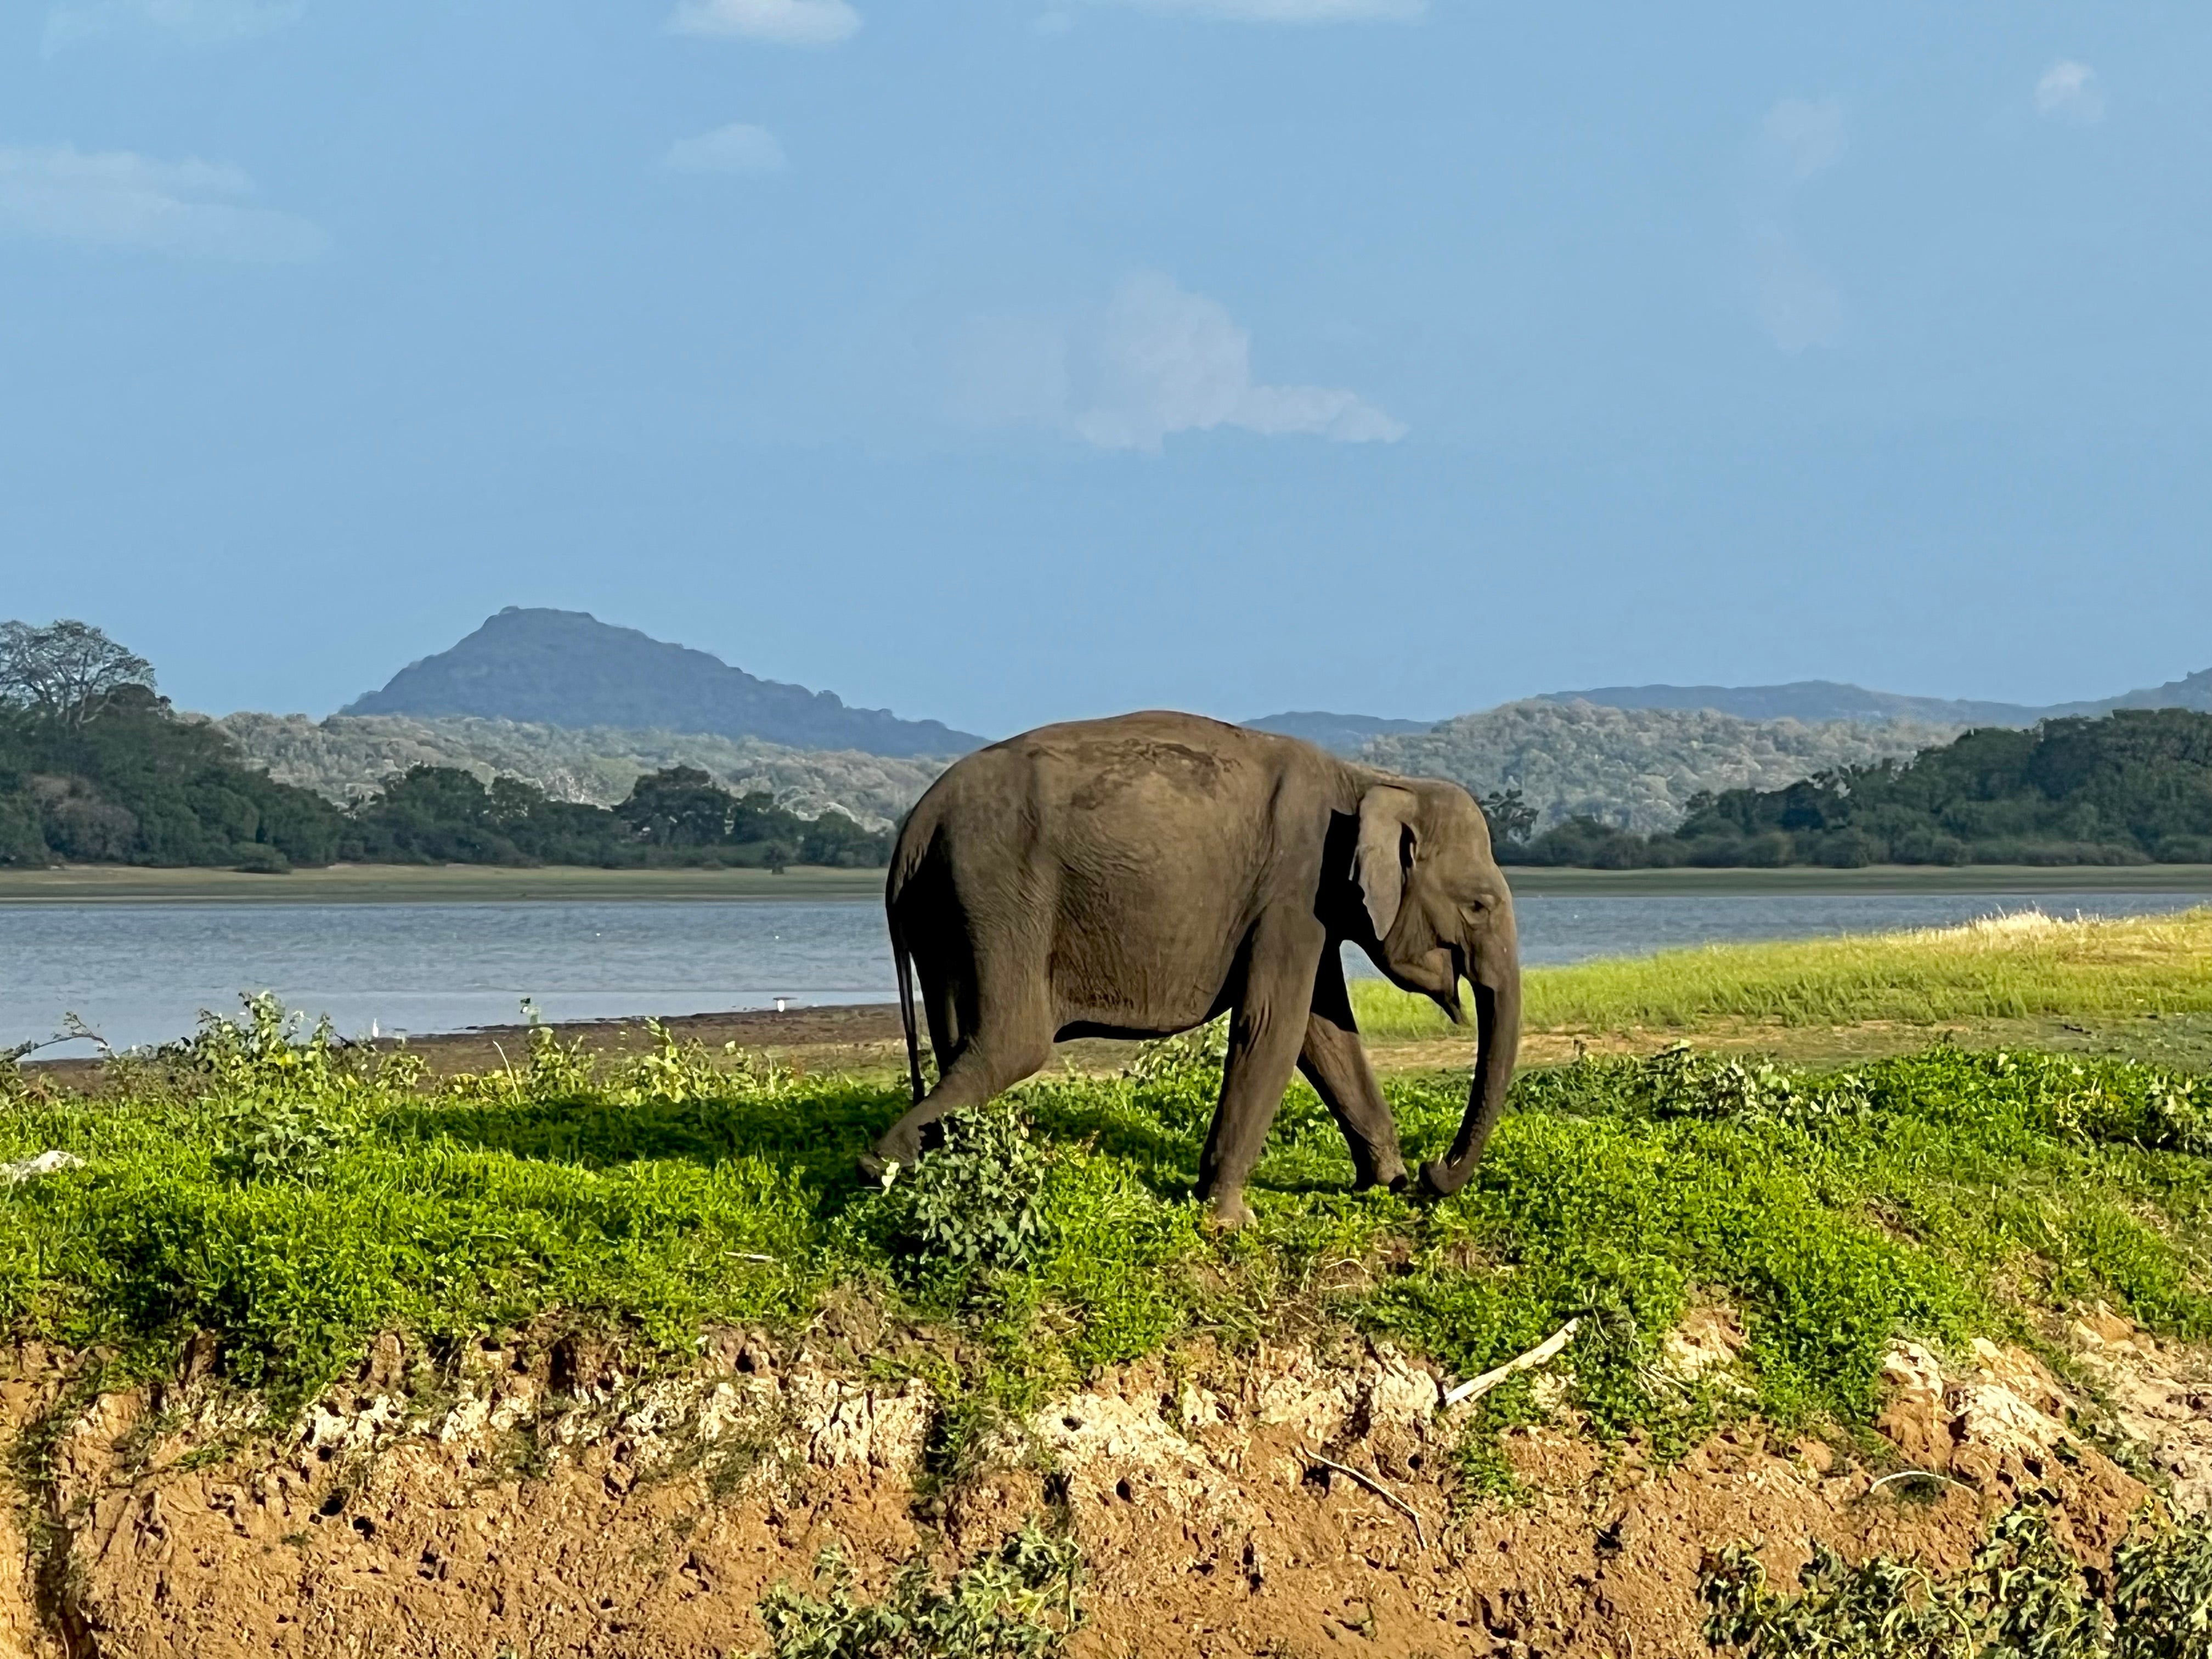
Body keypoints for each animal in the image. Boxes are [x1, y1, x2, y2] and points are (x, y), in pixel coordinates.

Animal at [854, 708, 1513, 1229]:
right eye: (1479, 905)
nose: (1432, 1171)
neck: (1370, 781)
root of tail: (914, 827)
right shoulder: (1295, 889)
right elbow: (1273, 1026)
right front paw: (1230, 1220)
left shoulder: (1310, 908)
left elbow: (1325, 1034)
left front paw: (1384, 1185)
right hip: (997, 895)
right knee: (1012, 1045)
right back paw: (878, 1163)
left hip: (945, 913)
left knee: (959, 1041)